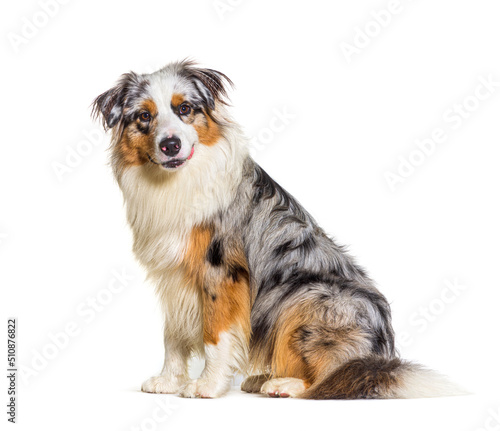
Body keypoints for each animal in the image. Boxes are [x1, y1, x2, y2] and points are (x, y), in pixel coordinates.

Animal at [92, 59, 462, 400]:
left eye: (184, 109)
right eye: (144, 116)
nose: (170, 144)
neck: (176, 180)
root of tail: (382, 359)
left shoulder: (220, 271)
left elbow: (215, 334)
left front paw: (208, 386)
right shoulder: (172, 274)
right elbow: (172, 335)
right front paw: (169, 381)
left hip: (306, 296)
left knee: (335, 376)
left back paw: (284, 384)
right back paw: (262, 378)